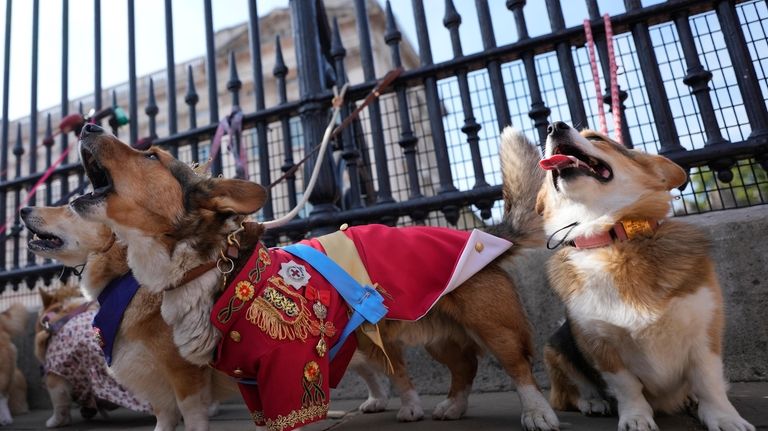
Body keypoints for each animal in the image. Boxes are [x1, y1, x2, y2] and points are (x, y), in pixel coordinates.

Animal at [21, 206, 237, 431]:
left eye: (72, 207)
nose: (23, 210)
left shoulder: (186, 373)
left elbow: (193, 418)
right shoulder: (157, 384)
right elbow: (163, 419)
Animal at [66, 124, 560, 431]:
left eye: (151, 155)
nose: (88, 125)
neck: (213, 266)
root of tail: (487, 234)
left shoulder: (287, 370)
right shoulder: (250, 381)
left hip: (492, 322)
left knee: (517, 365)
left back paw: (537, 413)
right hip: (435, 330)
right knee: (464, 366)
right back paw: (452, 406)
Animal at [532, 120, 752, 431]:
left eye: (596, 138)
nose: (554, 125)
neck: (612, 239)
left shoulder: (705, 332)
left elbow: (708, 381)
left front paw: (724, 417)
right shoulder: (601, 346)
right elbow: (627, 387)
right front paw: (636, 418)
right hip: (556, 346)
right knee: (570, 392)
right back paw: (593, 402)